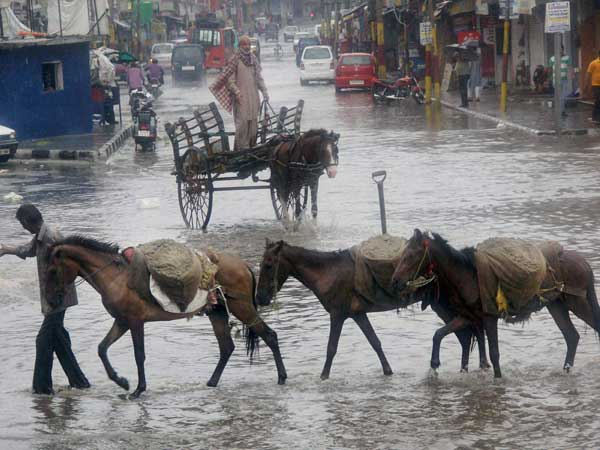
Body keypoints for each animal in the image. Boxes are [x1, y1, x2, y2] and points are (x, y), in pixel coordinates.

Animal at [45, 236, 288, 398]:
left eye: (52, 271)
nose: (51, 301)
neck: (117, 277)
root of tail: (243, 264)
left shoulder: (134, 322)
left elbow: (139, 355)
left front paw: (138, 389)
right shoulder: (122, 321)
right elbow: (102, 348)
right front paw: (121, 382)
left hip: (242, 307)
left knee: (269, 335)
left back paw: (282, 377)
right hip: (217, 311)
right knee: (227, 347)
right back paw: (211, 382)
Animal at [166, 100, 340, 230]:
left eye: (336, 150)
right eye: (323, 150)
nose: (333, 172)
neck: (304, 155)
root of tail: (274, 144)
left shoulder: (313, 181)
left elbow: (314, 208)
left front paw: (314, 228)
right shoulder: (297, 182)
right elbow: (297, 209)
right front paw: (296, 227)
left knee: (281, 194)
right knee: (282, 196)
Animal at [255, 239, 490, 380]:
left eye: (268, 265)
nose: (259, 298)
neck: (327, 272)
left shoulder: (338, 315)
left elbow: (331, 348)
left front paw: (323, 377)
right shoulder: (358, 314)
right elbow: (375, 343)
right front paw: (388, 371)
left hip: (446, 306)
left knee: (470, 332)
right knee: (467, 335)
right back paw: (470, 368)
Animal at [392, 230, 600, 378]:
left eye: (411, 255)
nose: (395, 282)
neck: (468, 276)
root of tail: (584, 262)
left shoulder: (489, 317)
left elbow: (494, 353)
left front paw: (498, 378)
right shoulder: (468, 317)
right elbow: (439, 334)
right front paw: (434, 365)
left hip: (577, 302)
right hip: (556, 305)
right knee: (571, 337)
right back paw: (566, 370)